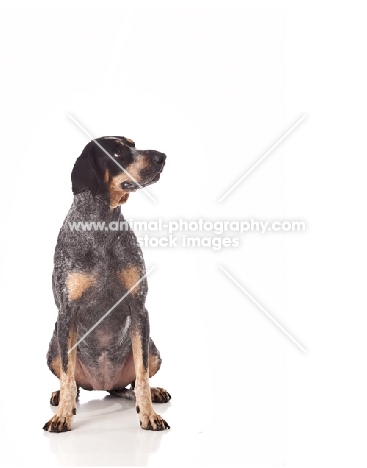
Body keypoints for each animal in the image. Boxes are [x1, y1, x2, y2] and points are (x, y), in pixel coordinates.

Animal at [42, 135, 171, 432]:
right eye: (117, 152)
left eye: (133, 145)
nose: (162, 156)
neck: (101, 226)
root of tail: (104, 384)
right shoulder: (67, 312)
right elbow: (67, 376)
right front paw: (62, 415)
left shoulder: (139, 308)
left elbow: (142, 376)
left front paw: (149, 415)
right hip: (53, 345)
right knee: (72, 383)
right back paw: (59, 397)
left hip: (153, 349)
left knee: (133, 383)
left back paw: (153, 391)